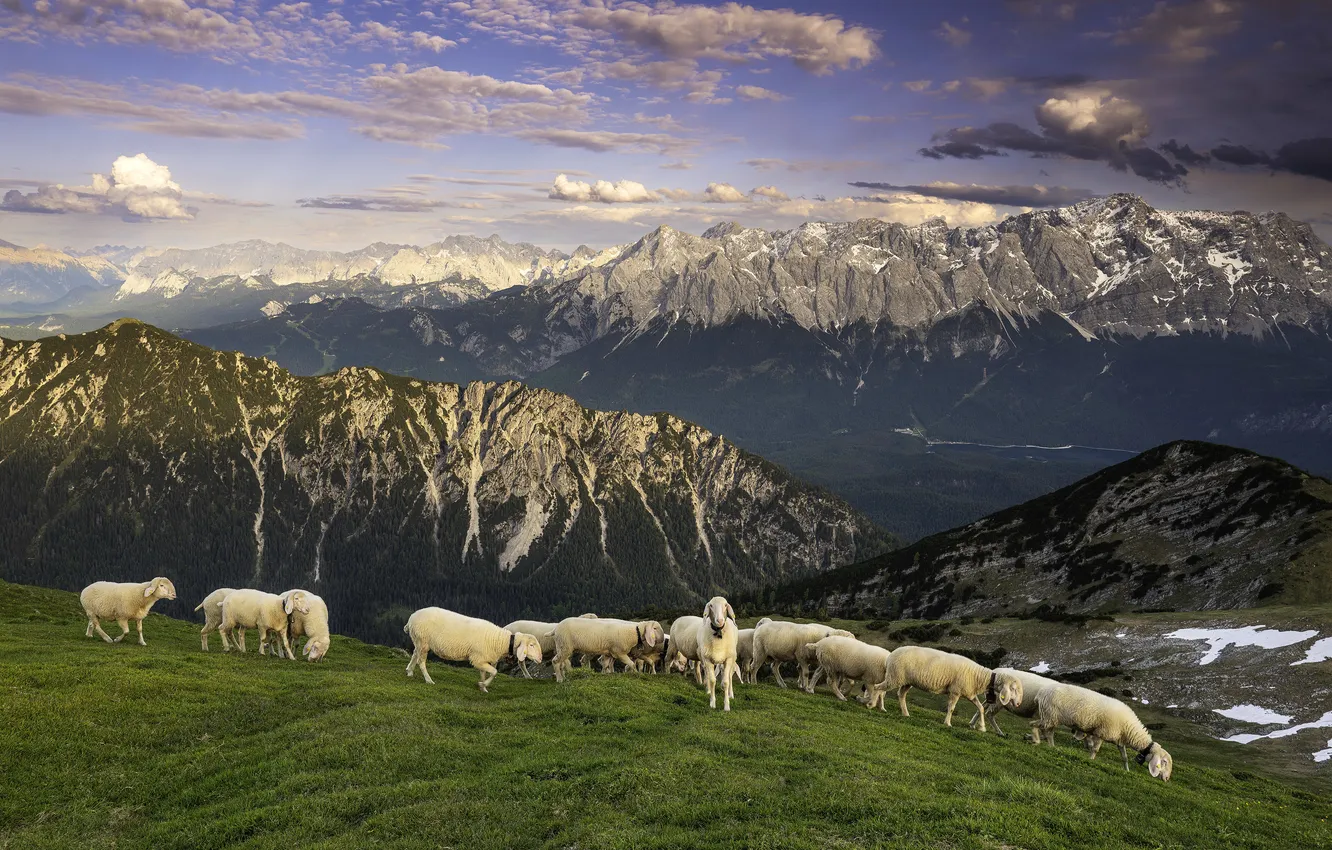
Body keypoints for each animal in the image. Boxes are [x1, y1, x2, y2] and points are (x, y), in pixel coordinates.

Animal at [404, 607, 542, 692]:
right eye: (531, 645)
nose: (540, 658)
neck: (500, 641)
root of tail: (411, 617)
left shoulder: (482, 659)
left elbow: (484, 673)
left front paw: (483, 688)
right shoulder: (477, 659)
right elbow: (494, 672)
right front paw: (483, 685)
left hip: (419, 641)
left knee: (415, 654)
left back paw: (409, 671)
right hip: (423, 641)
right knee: (421, 661)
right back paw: (428, 680)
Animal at [887, 645, 1023, 732]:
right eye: (1014, 689)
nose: (1018, 704)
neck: (980, 677)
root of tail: (892, 653)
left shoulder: (970, 693)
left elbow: (980, 708)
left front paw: (981, 727)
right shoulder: (955, 691)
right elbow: (951, 708)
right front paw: (947, 723)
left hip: (906, 681)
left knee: (901, 694)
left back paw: (905, 713)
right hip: (895, 676)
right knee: (883, 688)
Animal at [1032, 682, 1174, 780]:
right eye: (1164, 762)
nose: (1167, 779)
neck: (1129, 729)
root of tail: (1041, 692)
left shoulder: (1119, 741)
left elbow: (1125, 757)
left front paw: (1127, 770)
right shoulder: (1101, 733)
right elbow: (1095, 749)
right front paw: (1090, 760)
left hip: (1051, 718)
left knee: (1048, 732)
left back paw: (1051, 746)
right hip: (1049, 716)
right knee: (1034, 725)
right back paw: (1036, 740)